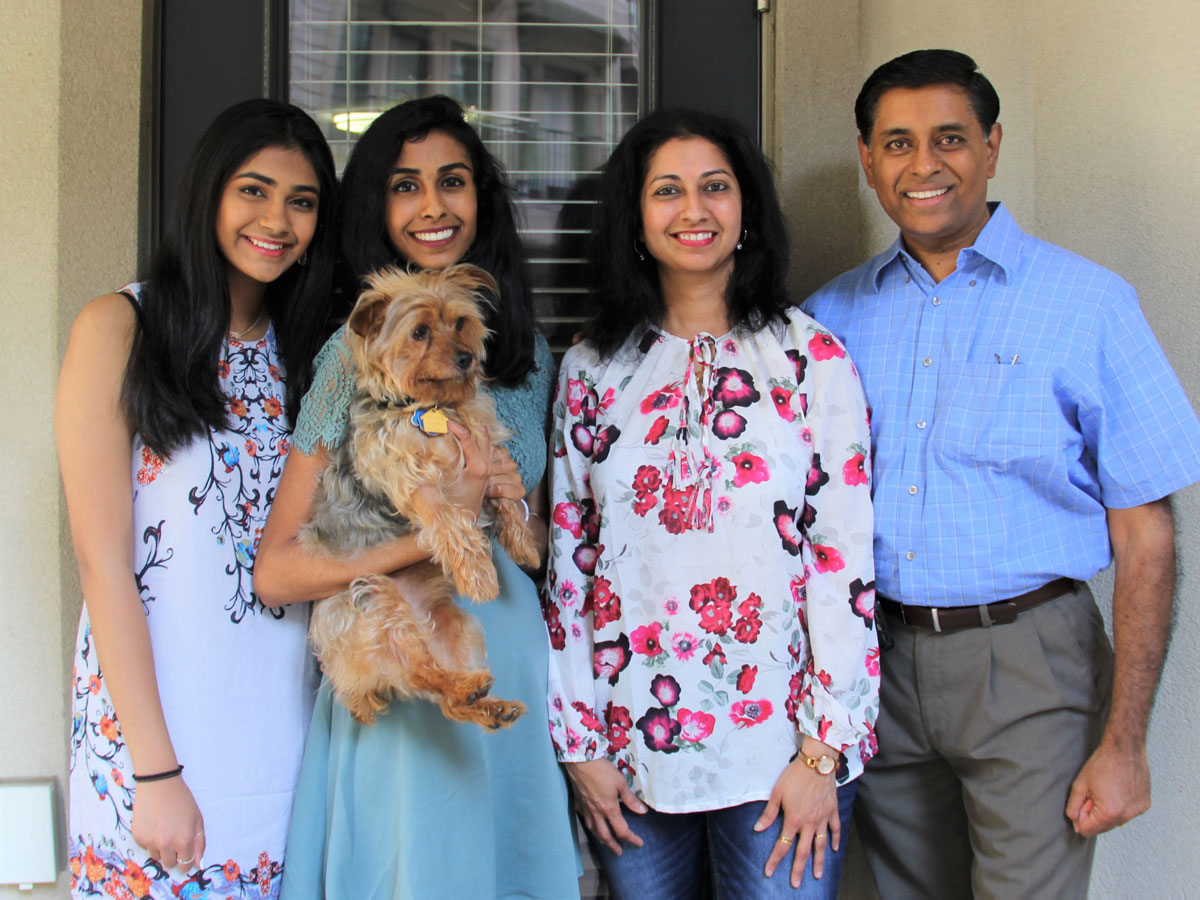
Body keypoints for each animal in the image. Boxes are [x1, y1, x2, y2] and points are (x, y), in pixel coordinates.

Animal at [304, 264, 540, 729]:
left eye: (461, 323)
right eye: (420, 332)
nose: (466, 359)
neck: (434, 408)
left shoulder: (490, 452)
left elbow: (506, 497)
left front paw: (524, 546)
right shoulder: (412, 481)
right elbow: (451, 521)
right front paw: (480, 577)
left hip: (457, 628)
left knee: (443, 697)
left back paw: (486, 702)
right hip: (374, 604)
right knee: (419, 672)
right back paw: (469, 691)